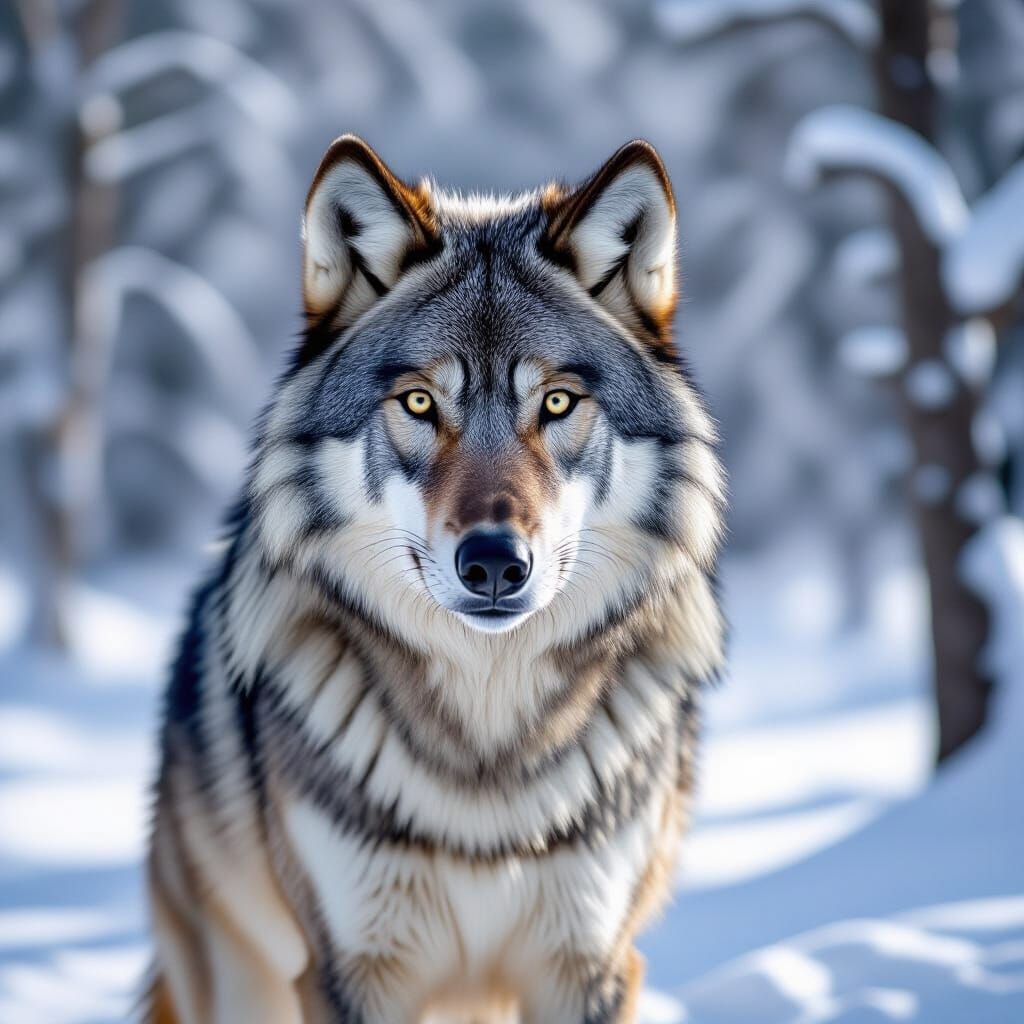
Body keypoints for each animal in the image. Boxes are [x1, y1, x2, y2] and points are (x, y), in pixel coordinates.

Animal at [145, 136, 727, 1024]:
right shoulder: (349, 972)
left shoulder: (590, 964)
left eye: (557, 403)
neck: (487, 752)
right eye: (419, 403)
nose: (493, 561)